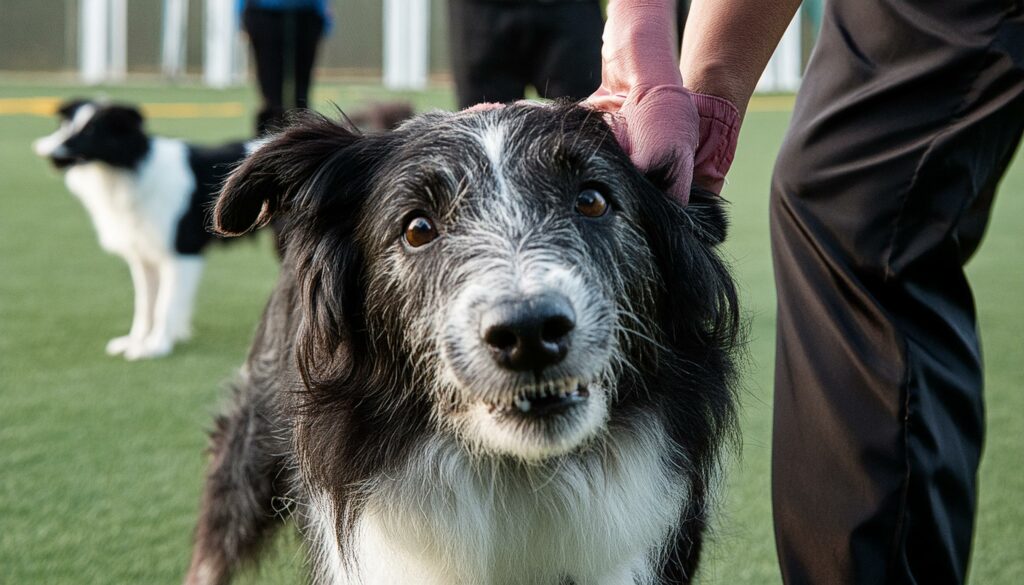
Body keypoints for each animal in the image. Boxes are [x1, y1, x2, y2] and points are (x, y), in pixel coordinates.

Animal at [33, 98, 249, 358]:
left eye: (92, 130)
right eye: (67, 126)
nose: (43, 148)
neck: (132, 170)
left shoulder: (182, 252)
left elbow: (165, 305)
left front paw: (157, 346)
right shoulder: (144, 255)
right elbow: (145, 304)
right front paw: (137, 342)